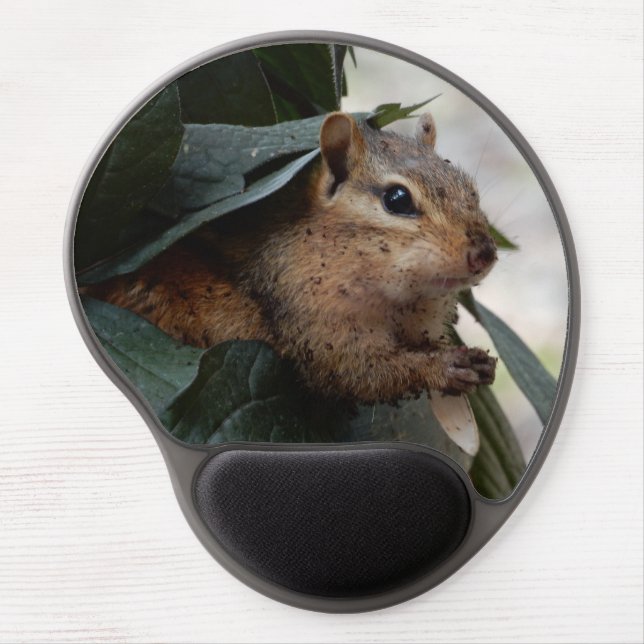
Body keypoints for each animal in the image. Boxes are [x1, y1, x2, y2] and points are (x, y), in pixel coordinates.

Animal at [85, 111, 498, 405]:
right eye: (397, 199)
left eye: (470, 190)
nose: (485, 253)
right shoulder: (312, 323)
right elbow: (359, 373)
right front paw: (443, 366)